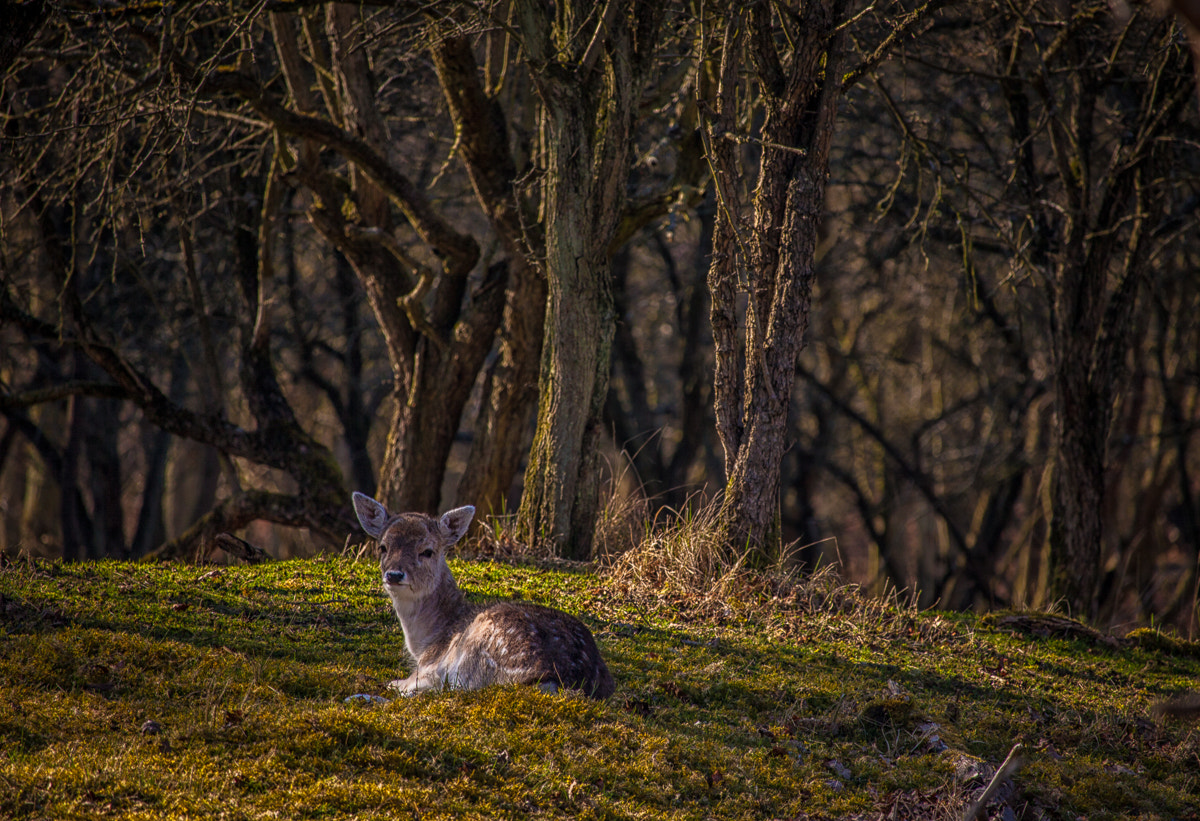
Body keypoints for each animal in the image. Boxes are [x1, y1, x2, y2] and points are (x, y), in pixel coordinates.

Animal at [352, 492, 615, 699]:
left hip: (473, 658)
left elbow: (403, 682)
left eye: (427, 551)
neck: (427, 642)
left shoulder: (433, 667)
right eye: (383, 547)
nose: (395, 575)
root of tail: (555, 680)